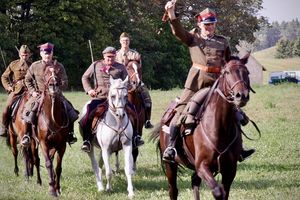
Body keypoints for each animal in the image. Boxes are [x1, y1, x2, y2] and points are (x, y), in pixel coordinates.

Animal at [36, 66, 70, 197]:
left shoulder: (61, 145)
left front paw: (57, 188)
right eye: (45, 74)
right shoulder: (43, 143)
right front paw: (51, 189)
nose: (53, 85)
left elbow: (58, 167)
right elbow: (48, 164)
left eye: (58, 72)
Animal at [151, 54, 252, 200]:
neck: (220, 127)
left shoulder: (230, 170)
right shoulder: (202, 166)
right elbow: (218, 192)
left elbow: (224, 193)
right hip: (170, 164)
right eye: (227, 72)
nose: (241, 95)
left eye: (247, 72)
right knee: (173, 190)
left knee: (194, 182)